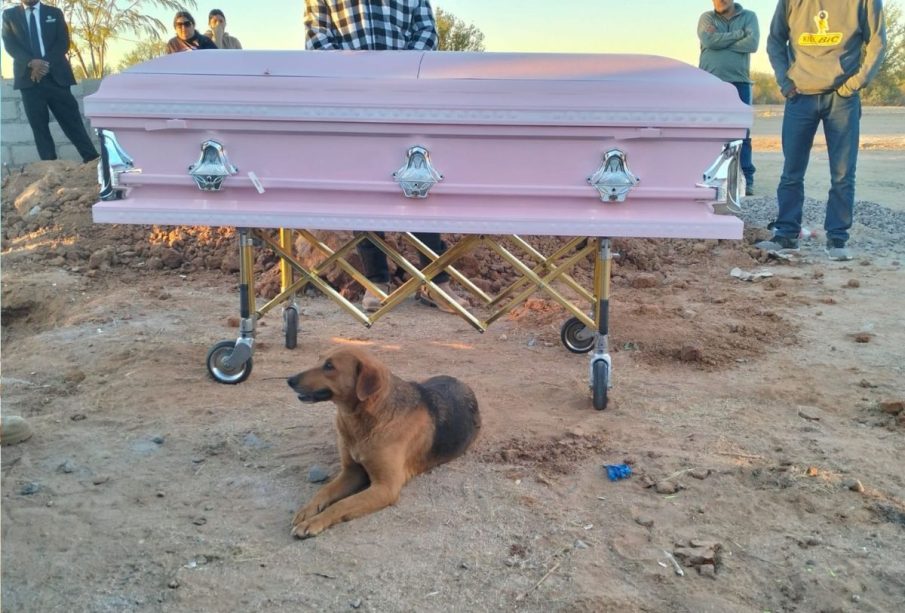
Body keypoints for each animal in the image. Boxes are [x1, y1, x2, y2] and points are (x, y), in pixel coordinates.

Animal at [284, 346, 480, 536]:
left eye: (329, 366)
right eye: (319, 359)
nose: (289, 380)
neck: (366, 419)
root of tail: (463, 384)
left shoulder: (385, 487)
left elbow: (341, 504)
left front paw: (314, 522)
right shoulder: (351, 472)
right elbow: (325, 490)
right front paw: (307, 509)